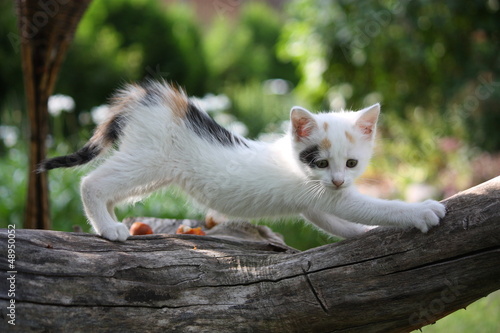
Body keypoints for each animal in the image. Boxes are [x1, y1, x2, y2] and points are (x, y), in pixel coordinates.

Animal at [40, 81, 446, 241]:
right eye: (320, 162)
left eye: (351, 164)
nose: (337, 180)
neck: (294, 162)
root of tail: (152, 98)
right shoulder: (323, 193)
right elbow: (372, 206)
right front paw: (420, 211)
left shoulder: (315, 202)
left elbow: (336, 223)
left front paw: (363, 232)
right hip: (148, 160)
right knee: (90, 183)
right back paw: (109, 228)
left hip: (151, 171)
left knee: (109, 187)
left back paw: (107, 222)